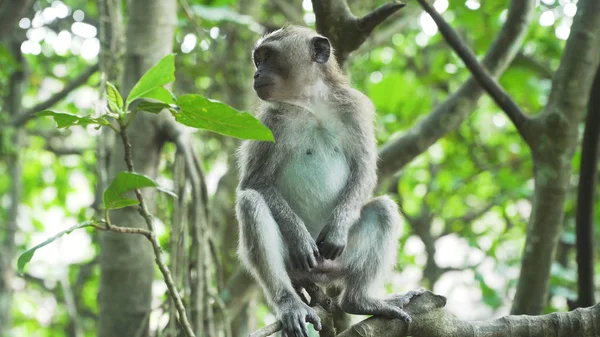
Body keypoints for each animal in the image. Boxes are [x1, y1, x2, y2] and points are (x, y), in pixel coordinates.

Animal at [234, 25, 422, 336]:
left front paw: (336, 228)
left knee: (383, 209)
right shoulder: (269, 122)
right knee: (250, 203)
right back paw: (290, 303)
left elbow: (363, 170)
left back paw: (360, 300)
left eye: (267, 57)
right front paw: (299, 237)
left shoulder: (354, 107)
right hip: (294, 266)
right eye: (258, 59)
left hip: (339, 261)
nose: (256, 74)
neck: (310, 104)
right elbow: (254, 183)